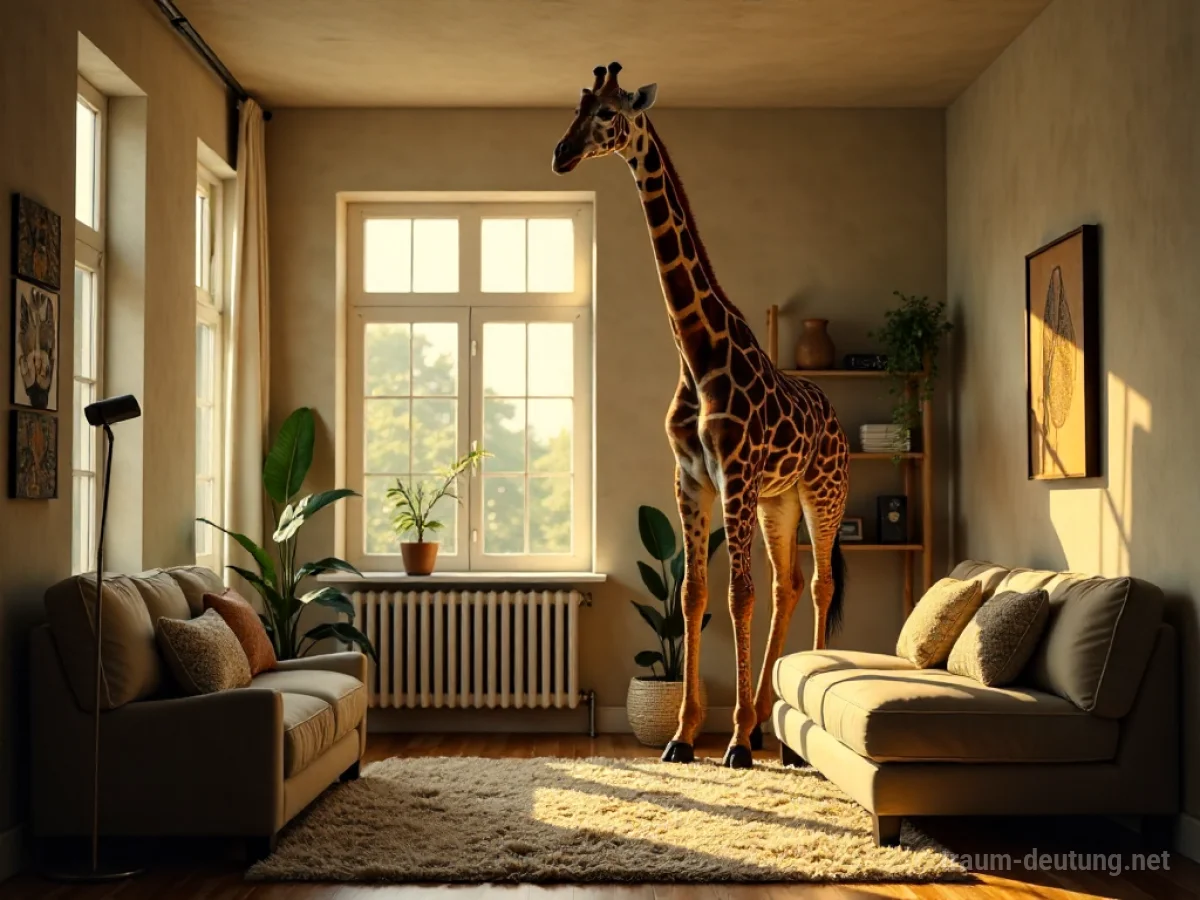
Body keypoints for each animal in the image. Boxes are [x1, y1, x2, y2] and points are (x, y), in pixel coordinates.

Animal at [553, 63, 850, 769]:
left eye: (609, 113)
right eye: (577, 107)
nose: (561, 154)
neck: (695, 350)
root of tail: (835, 415)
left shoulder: (733, 475)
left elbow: (736, 596)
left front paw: (734, 743)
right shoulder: (690, 478)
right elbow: (693, 594)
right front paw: (686, 738)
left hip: (822, 492)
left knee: (820, 584)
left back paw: (784, 738)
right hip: (778, 501)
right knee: (788, 583)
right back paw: (773, 725)